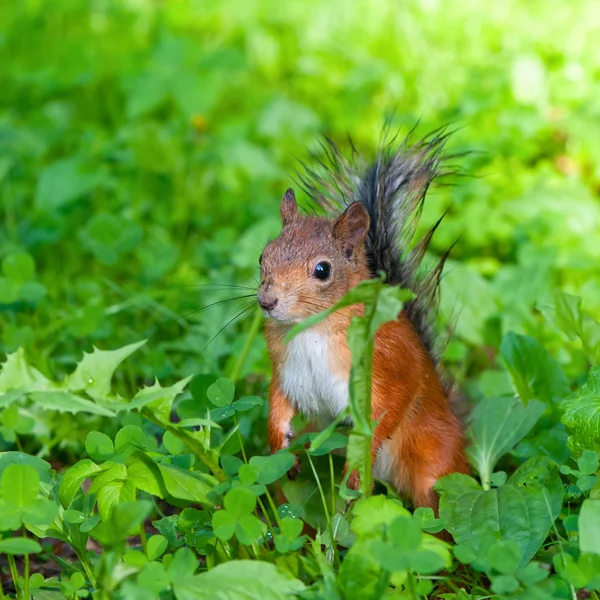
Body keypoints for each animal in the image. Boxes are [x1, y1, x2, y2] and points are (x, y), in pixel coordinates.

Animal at [255, 129, 466, 512]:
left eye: (322, 270)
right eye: (264, 256)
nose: (267, 301)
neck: (314, 328)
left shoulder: (389, 361)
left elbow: (389, 410)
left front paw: (355, 470)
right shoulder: (285, 368)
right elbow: (277, 400)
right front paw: (278, 441)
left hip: (434, 464)